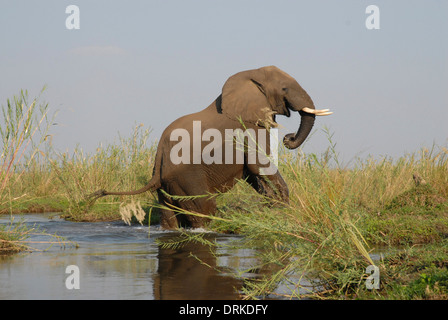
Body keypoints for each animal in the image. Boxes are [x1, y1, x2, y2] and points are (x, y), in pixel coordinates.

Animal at [89, 66, 330, 229]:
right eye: (284, 88)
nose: (288, 138)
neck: (251, 74)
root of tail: (158, 161)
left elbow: (252, 173)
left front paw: (273, 205)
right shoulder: (249, 126)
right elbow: (258, 165)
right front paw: (282, 207)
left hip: (167, 185)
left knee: (169, 215)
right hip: (186, 178)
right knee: (204, 208)